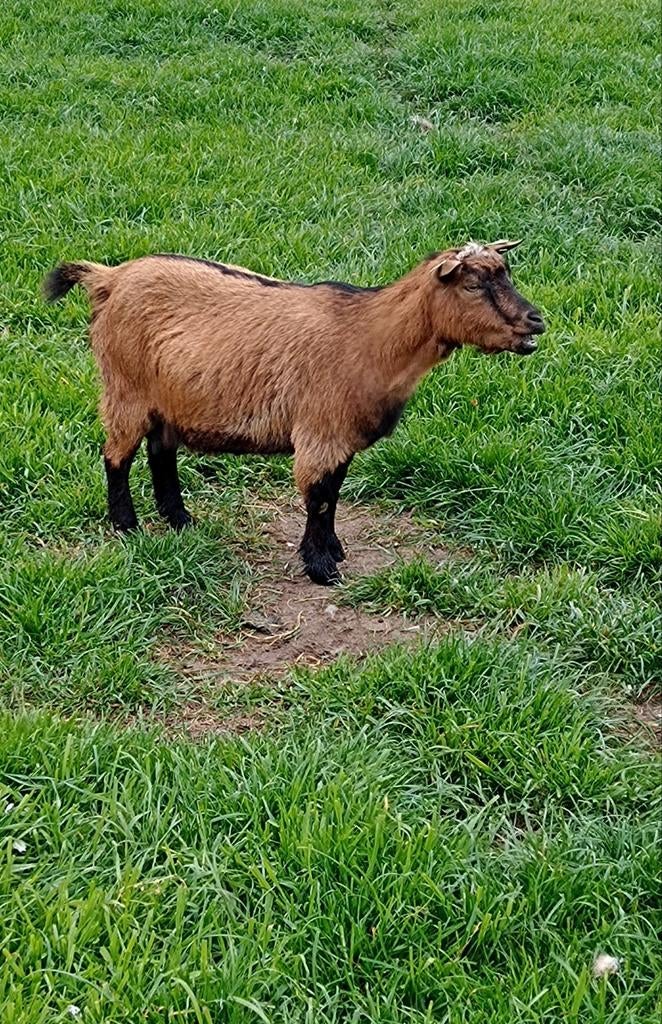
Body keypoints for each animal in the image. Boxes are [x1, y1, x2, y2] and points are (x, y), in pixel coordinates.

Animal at [43, 240, 545, 584]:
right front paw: (321, 567)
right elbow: (319, 497)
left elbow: (334, 494)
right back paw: (127, 526)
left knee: (160, 453)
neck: (372, 337)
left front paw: (334, 551)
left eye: (507, 275)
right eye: (474, 284)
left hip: (168, 398)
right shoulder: (321, 429)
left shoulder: (340, 435)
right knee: (116, 455)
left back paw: (180, 521)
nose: (536, 320)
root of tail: (109, 278)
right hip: (124, 388)